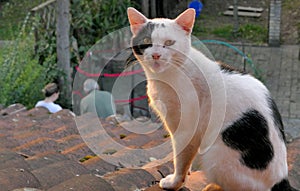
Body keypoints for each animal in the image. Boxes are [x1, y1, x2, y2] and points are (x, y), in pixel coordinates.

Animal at [126, 6, 298, 190]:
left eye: (169, 43)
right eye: (146, 40)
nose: (156, 55)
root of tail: (282, 179)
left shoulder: (186, 129)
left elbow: (180, 158)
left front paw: (175, 182)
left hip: (214, 154)